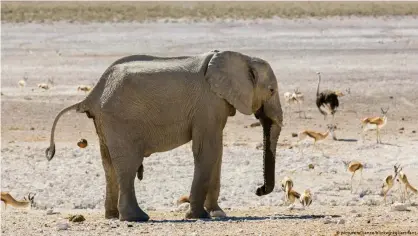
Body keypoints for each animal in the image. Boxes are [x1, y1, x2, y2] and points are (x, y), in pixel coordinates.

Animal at [45, 49, 284, 221]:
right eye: (271, 90)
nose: (259, 190)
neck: (242, 57)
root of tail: (92, 95)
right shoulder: (208, 104)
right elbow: (207, 150)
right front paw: (198, 216)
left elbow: (217, 152)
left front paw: (218, 214)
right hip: (120, 122)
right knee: (128, 165)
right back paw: (137, 218)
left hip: (105, 123)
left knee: (109, 166)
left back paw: (112, 216)